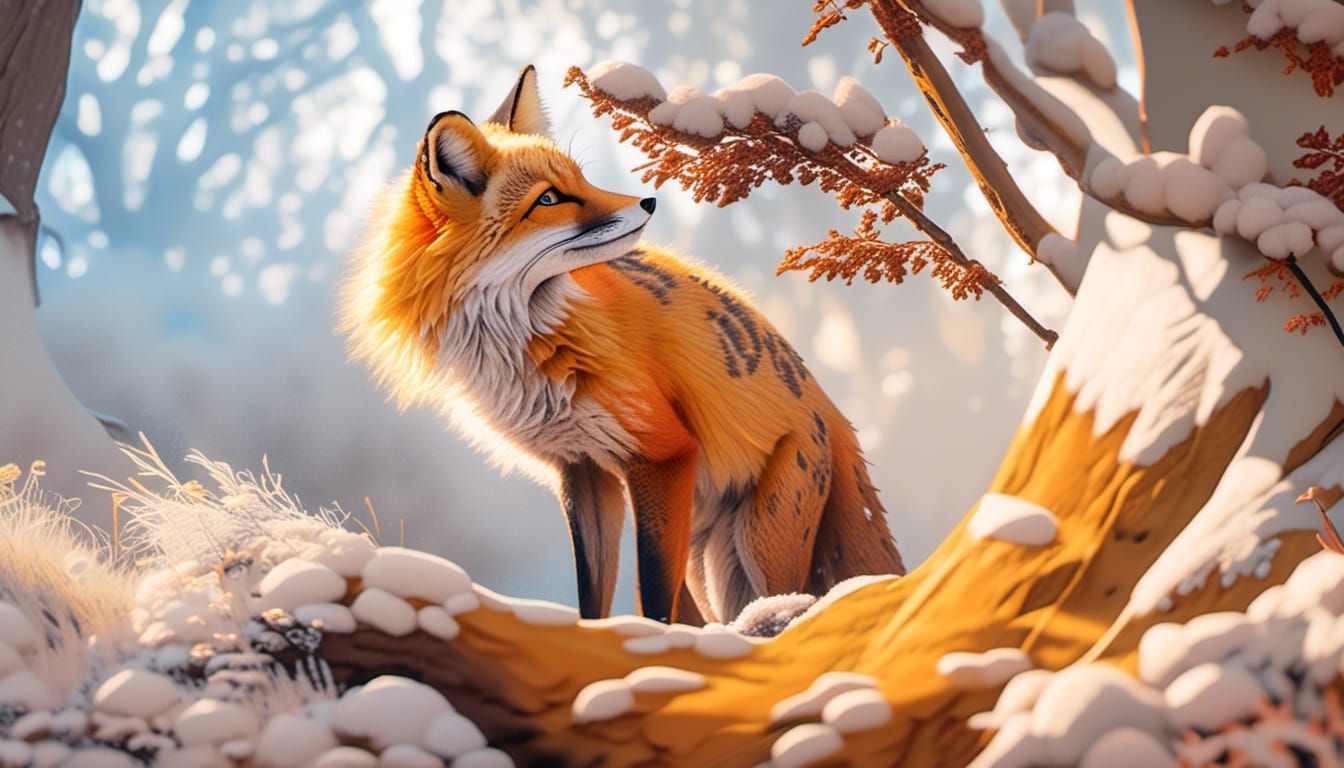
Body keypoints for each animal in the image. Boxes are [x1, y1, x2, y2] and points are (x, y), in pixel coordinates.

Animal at [338, 65, 905, 625]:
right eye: (549, 198)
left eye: (582, 179)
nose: (649, 200)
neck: (519, 339)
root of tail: (829, 407)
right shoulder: (581, 468)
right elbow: (594, 594)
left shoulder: (665, 453)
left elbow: (653, 595)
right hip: (709, 558)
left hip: (757, 541)